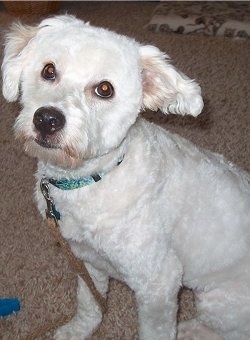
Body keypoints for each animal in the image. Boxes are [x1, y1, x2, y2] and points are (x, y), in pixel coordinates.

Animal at [1, 13, 250, 340]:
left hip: (217, 301)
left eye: (105, 89)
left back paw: (189, 329)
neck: (94, 179)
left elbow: (156, 331)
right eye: (48, 70)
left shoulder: (158, 285)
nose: (47, 119)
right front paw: (79, 329)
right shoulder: (86, 259)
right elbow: (89, 302)